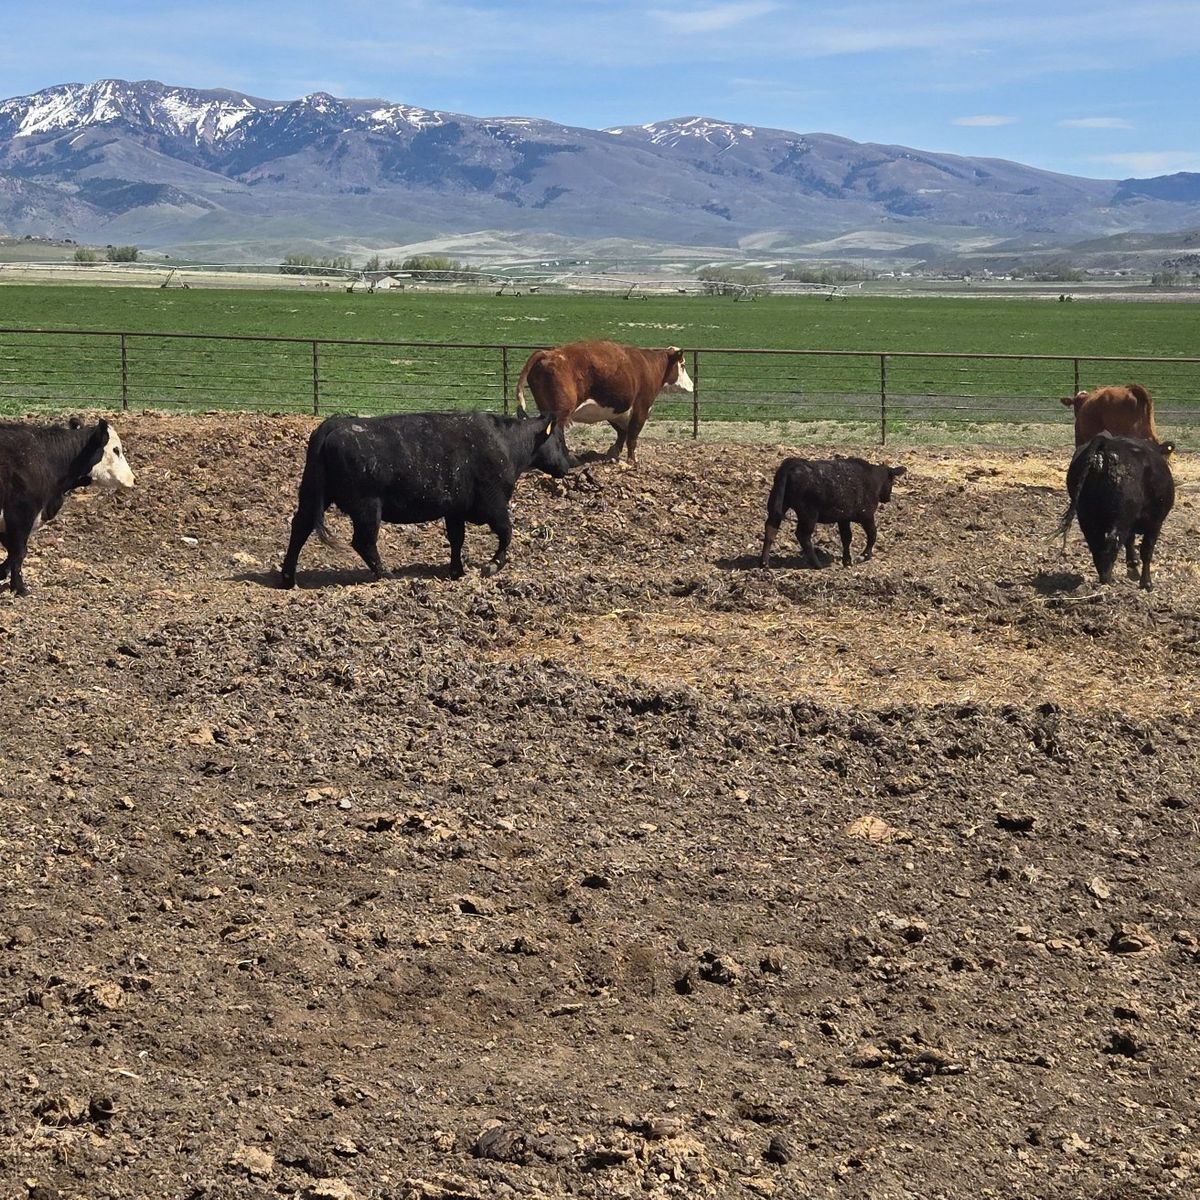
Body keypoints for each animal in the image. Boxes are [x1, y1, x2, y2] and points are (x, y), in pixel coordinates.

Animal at [279, 411, 570, 588]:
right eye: (559, 438)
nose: (569, 463)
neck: (506, 444)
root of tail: (334, 424)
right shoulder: (494, 504)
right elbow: (506, 533)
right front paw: (492, 566)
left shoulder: (455, 510)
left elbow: (457, 539)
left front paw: (457, 571)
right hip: (367, 506)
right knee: (363, 541)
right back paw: (386, 574)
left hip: (312, 495)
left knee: (300, 527)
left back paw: (288, 577)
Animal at [514, 340, 693, 465]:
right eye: (683, 365)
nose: (692, 385)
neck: (649, 365)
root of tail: (547, 353)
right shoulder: (641, 408)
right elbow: (632, 436)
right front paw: (632, 460)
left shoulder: (615, 409)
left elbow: (622, 433)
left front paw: (613, 452)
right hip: (561, 411)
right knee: (557, 433)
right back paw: (570, 459)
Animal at [761, 456, 906, 569]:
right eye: (891, 480)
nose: (887, 498)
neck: (873, 478)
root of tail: (792, 463)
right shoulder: (867, 515)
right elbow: (872, 535)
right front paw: (865, 555)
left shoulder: (844, 518)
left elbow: (846, 538)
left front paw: (847, 560)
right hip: (808, 514)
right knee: (803, 535)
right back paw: (817, 564)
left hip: (778, 505)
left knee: (771, 528)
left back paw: (765, 562)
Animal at [1057, 433, 1175, 590]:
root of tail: (1106, 443)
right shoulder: (1155, 522)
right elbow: (1146, 551)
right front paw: (1146, 583)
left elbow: (1130, 542)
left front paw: (1133, 568)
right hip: (1120, 517)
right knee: (1111, 543)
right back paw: (1107, 579)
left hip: (1086, 515)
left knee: (1095, 544)